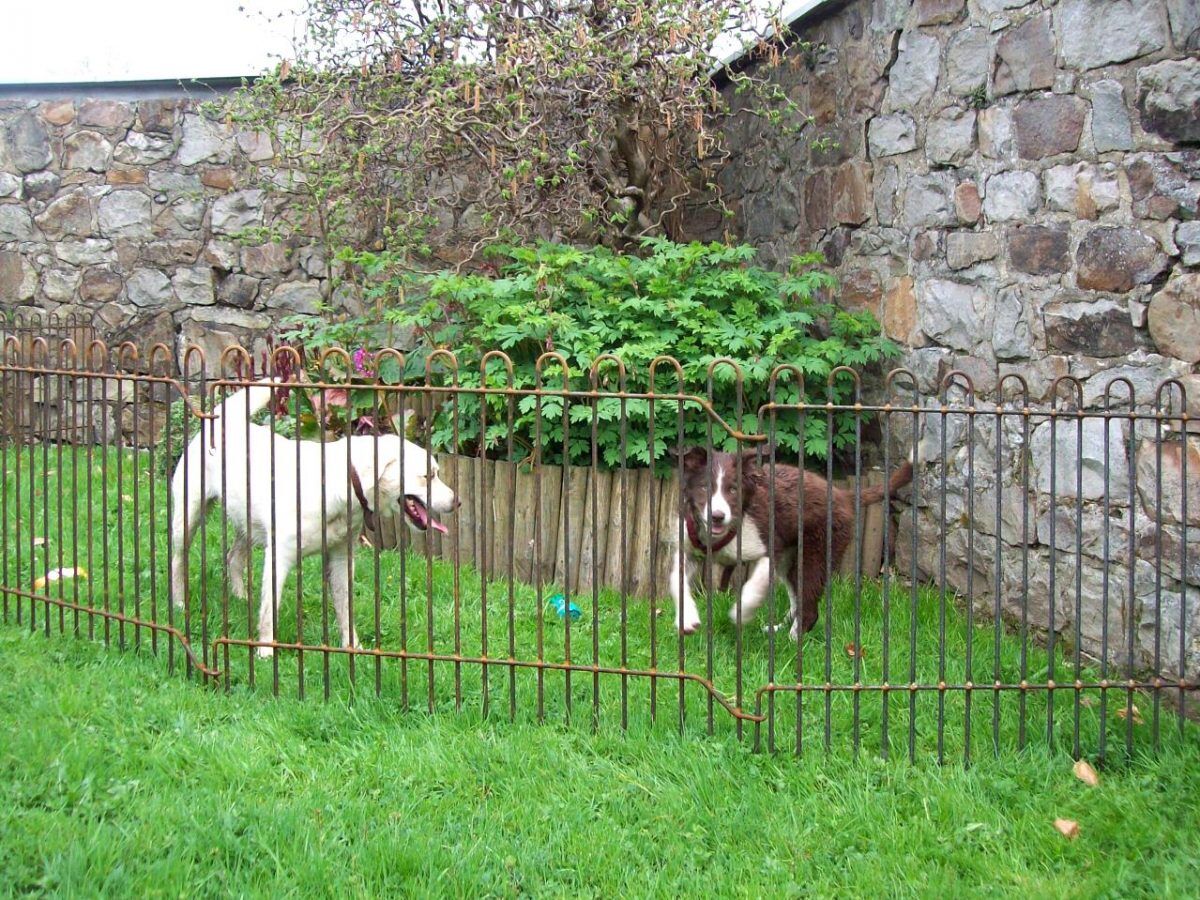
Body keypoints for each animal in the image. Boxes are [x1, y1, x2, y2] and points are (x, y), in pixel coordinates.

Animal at [171, 381, 460, 657]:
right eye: (428, 476)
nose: (456, 501)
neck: (342, 485)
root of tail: (220, 421)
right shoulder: (279, 557)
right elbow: (269, 610)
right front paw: (265, 650)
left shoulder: (342, 558)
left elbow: (345, 609)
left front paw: (352, 647)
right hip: (188, 516)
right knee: (178, 560)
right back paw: (179, 603)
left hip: (250, 526)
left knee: (233, 558)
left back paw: (241, 598)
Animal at [667, 448, 907, 643]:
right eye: (703, 487)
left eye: (733, 490)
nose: (717, 516)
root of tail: (843, 495)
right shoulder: (688, 549)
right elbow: (675, 580)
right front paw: (687, 619)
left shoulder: (768, 547)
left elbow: (755, 584)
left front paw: (742, 612)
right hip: (791, 561)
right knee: (796, 600)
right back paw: (778, 630)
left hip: (816, 554)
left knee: (809, 608)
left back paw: (792, 642)